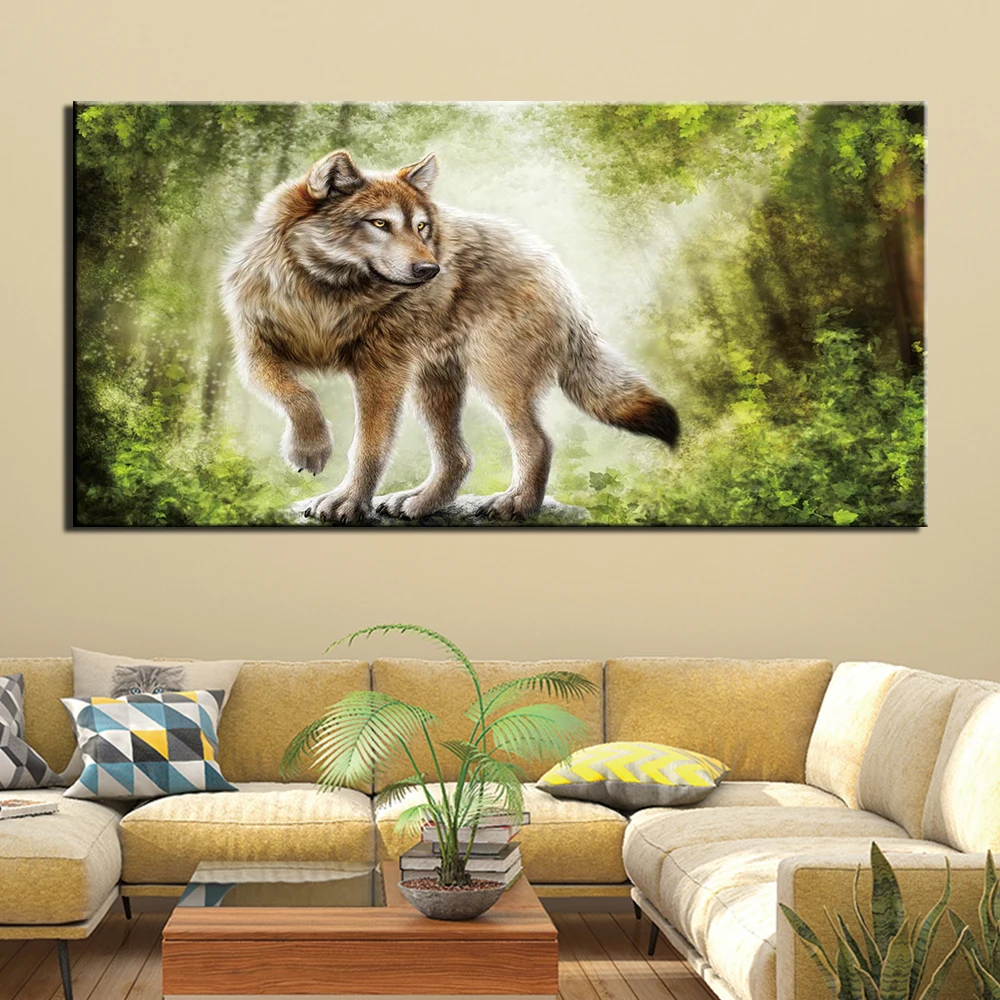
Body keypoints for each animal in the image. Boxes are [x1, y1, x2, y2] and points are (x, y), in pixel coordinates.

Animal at [221, 150, 679, 522]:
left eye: (422, 227)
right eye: (380, 223)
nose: (430, 270)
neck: (324, 294)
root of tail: (557, 270)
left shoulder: (380, 373)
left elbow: (368, 446)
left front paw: (346, 501)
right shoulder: (254, 356)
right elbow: (298, 396)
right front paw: (310, 449)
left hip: (493, 379)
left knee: (538, 443)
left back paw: (515, 504)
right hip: (434, 386)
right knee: (458, 458)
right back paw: (420, 502)